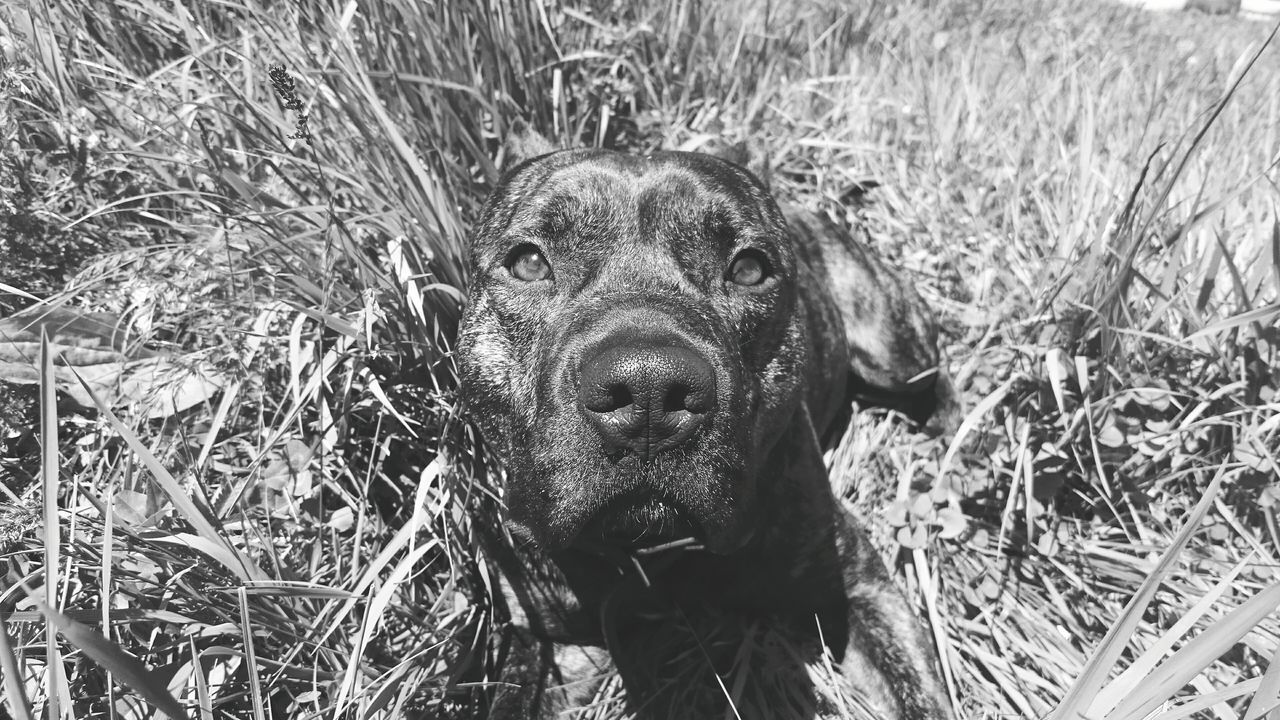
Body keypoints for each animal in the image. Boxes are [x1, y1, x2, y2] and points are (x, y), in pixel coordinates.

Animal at [455, 130, 957, 717]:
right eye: (530, 262)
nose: (649, 387)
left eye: (749, 269)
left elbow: (923, 698)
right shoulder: (547, 637)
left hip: (893, 345)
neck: (650, 553)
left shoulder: (857, 586)